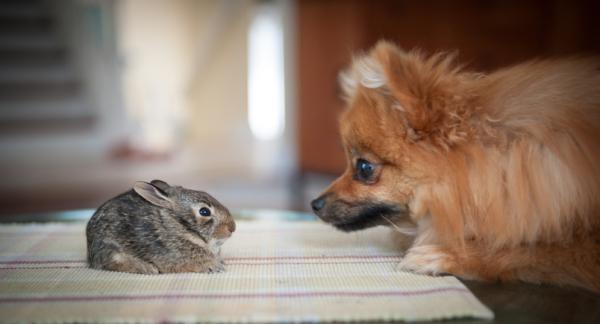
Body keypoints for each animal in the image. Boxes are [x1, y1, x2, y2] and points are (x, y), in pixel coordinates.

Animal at [85, 180, 236, 274]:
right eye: (204, 212)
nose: (232, 228)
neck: (178, 227)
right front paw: (215, 267)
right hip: (112, 248)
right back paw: (147, 268)